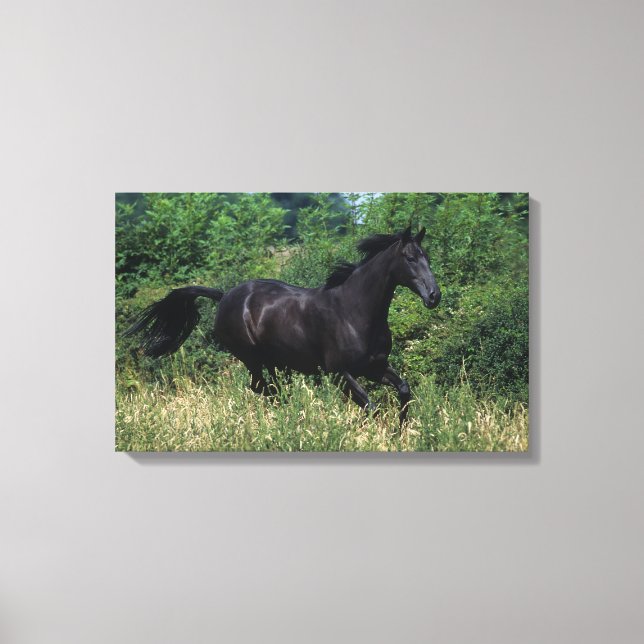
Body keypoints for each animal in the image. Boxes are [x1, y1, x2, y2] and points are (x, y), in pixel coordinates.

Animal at [125, 225, 441, 425]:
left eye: (427, 257)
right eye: (410, 258)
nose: (434, 296)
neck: (354, 311)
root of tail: (225, 295)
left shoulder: (374, 366)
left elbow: (404, 391)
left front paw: (401, 432)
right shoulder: (340, 373)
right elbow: (371, 407)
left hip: (272, 360)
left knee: (273, 389)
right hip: (251, 358)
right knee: (263, 389)